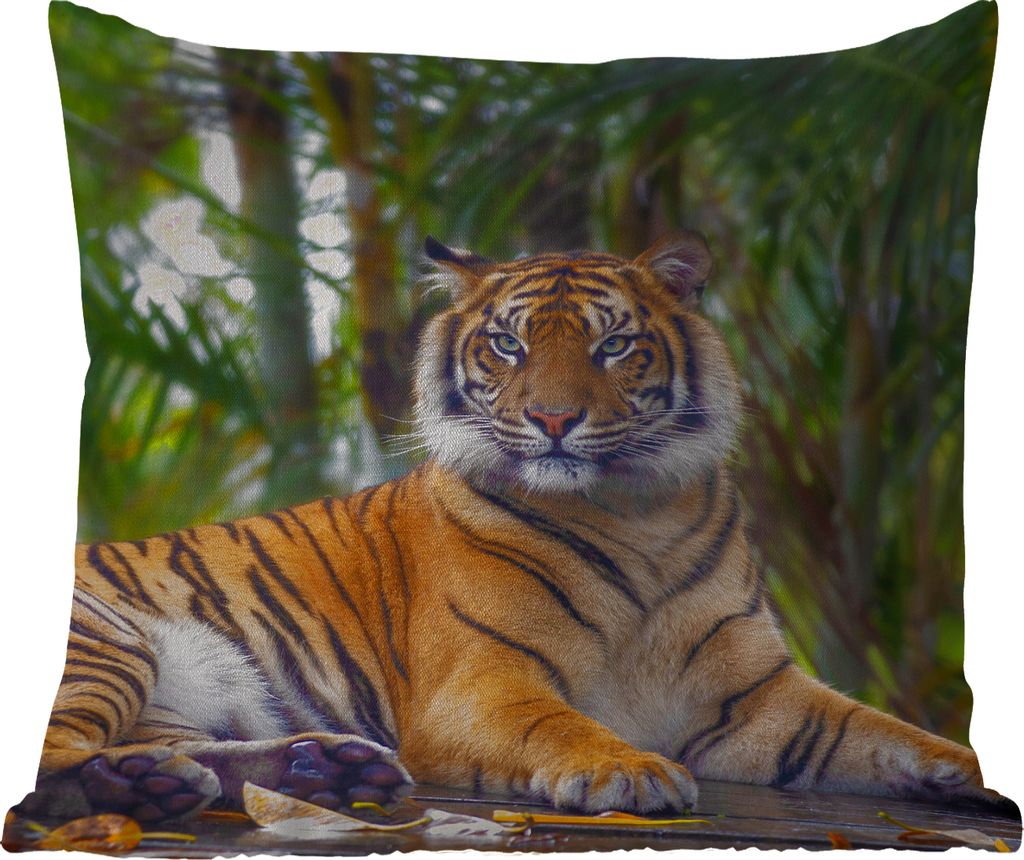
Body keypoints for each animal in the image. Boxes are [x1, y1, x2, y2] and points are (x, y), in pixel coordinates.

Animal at [13, 231, 1005, 825]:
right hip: (110, 642)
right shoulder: (484, 683)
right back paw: (150, 785)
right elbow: (558, 727)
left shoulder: (755, 697)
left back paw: (316, 771)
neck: (638, 511)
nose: (554, 419)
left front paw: (969, 770)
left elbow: (874, 729)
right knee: (46, 766)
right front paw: (631, 771)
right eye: (509, 345)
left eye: (613, 345)